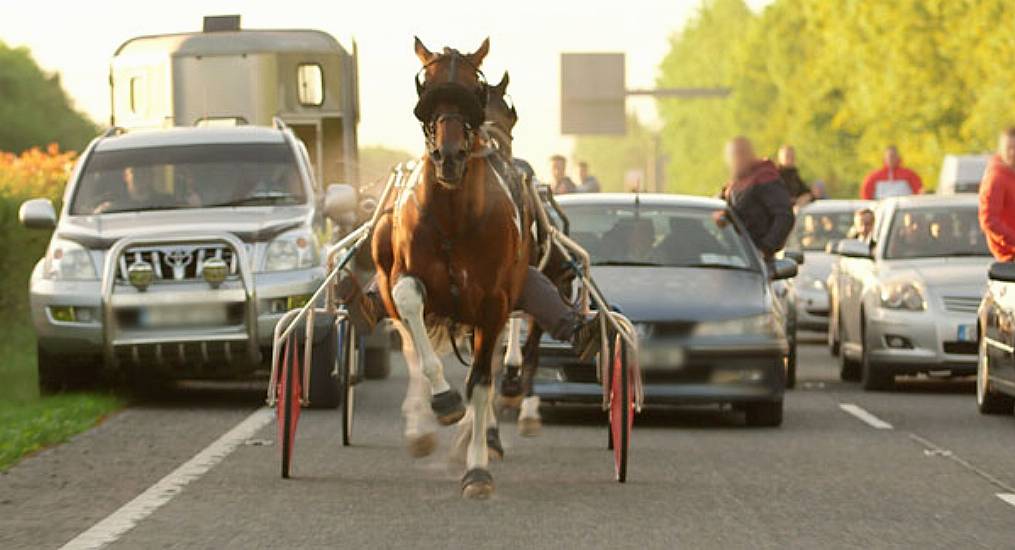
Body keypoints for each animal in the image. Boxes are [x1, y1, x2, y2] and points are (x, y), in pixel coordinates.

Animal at [371, 37, 531, 499]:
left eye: (472, 89)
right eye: (426, 85)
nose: (449, 155)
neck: (454, 217)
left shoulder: (494, 304)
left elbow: (480, 383)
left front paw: (477, 467)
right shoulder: (403, 278)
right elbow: (411, 306)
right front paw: (442, 402)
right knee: (410, 348)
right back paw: (422, 427)